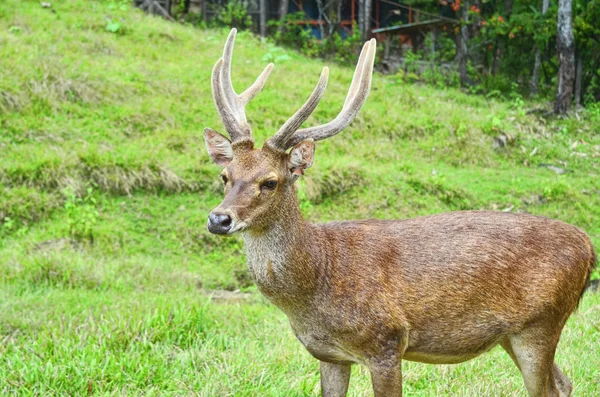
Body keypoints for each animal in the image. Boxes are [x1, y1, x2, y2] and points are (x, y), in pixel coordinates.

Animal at [204, 27, 596, 396]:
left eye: (270, 182)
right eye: (225, 176)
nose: (219, 219)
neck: (318, 279)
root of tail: (589, 248)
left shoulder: (386, 342)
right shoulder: (329, 355)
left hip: (541, 323)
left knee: (549, 387)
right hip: (512, 335)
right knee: (565, 382)